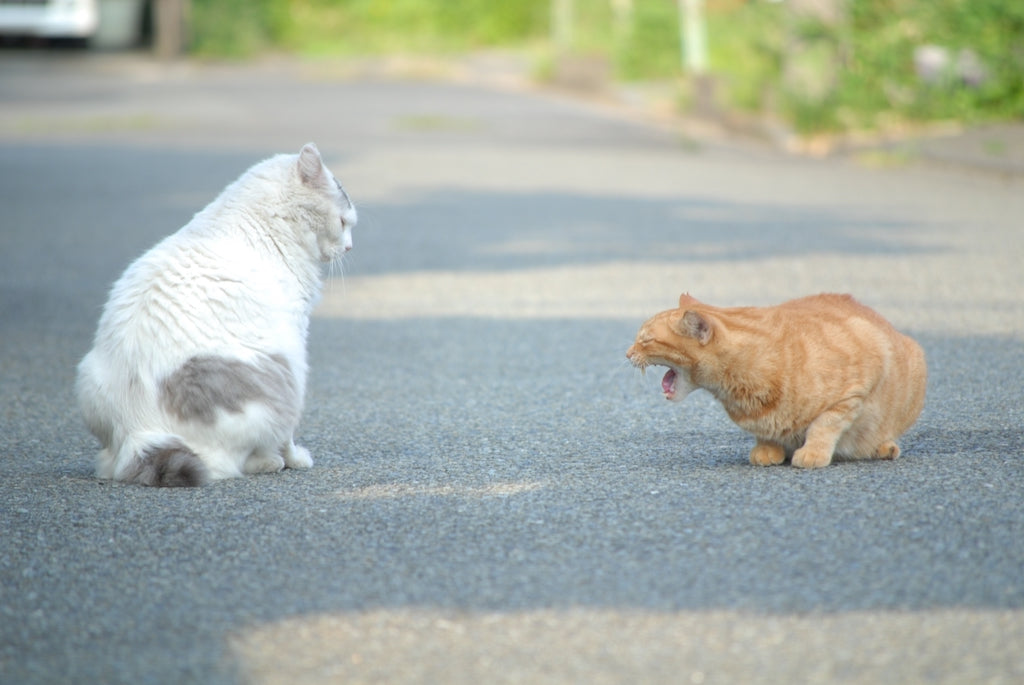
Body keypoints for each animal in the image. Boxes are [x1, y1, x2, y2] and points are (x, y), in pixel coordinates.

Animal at [75, 143, 356, 485]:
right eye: (343, 222)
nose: (350, 247)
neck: (264, 223)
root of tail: (140, 431)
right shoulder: (297, 337)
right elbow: (288, 437)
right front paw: (295, 458)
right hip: (284, 373)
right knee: (236, 460)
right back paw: (270, 462)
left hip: (87, 377)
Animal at [622, 290, 929, 466]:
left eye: (645, 340)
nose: (627, 353)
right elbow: (765, 432)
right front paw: (767, 449)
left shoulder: (857, 383)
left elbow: (825, 424)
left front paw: (812, 453)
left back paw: (883, 447)